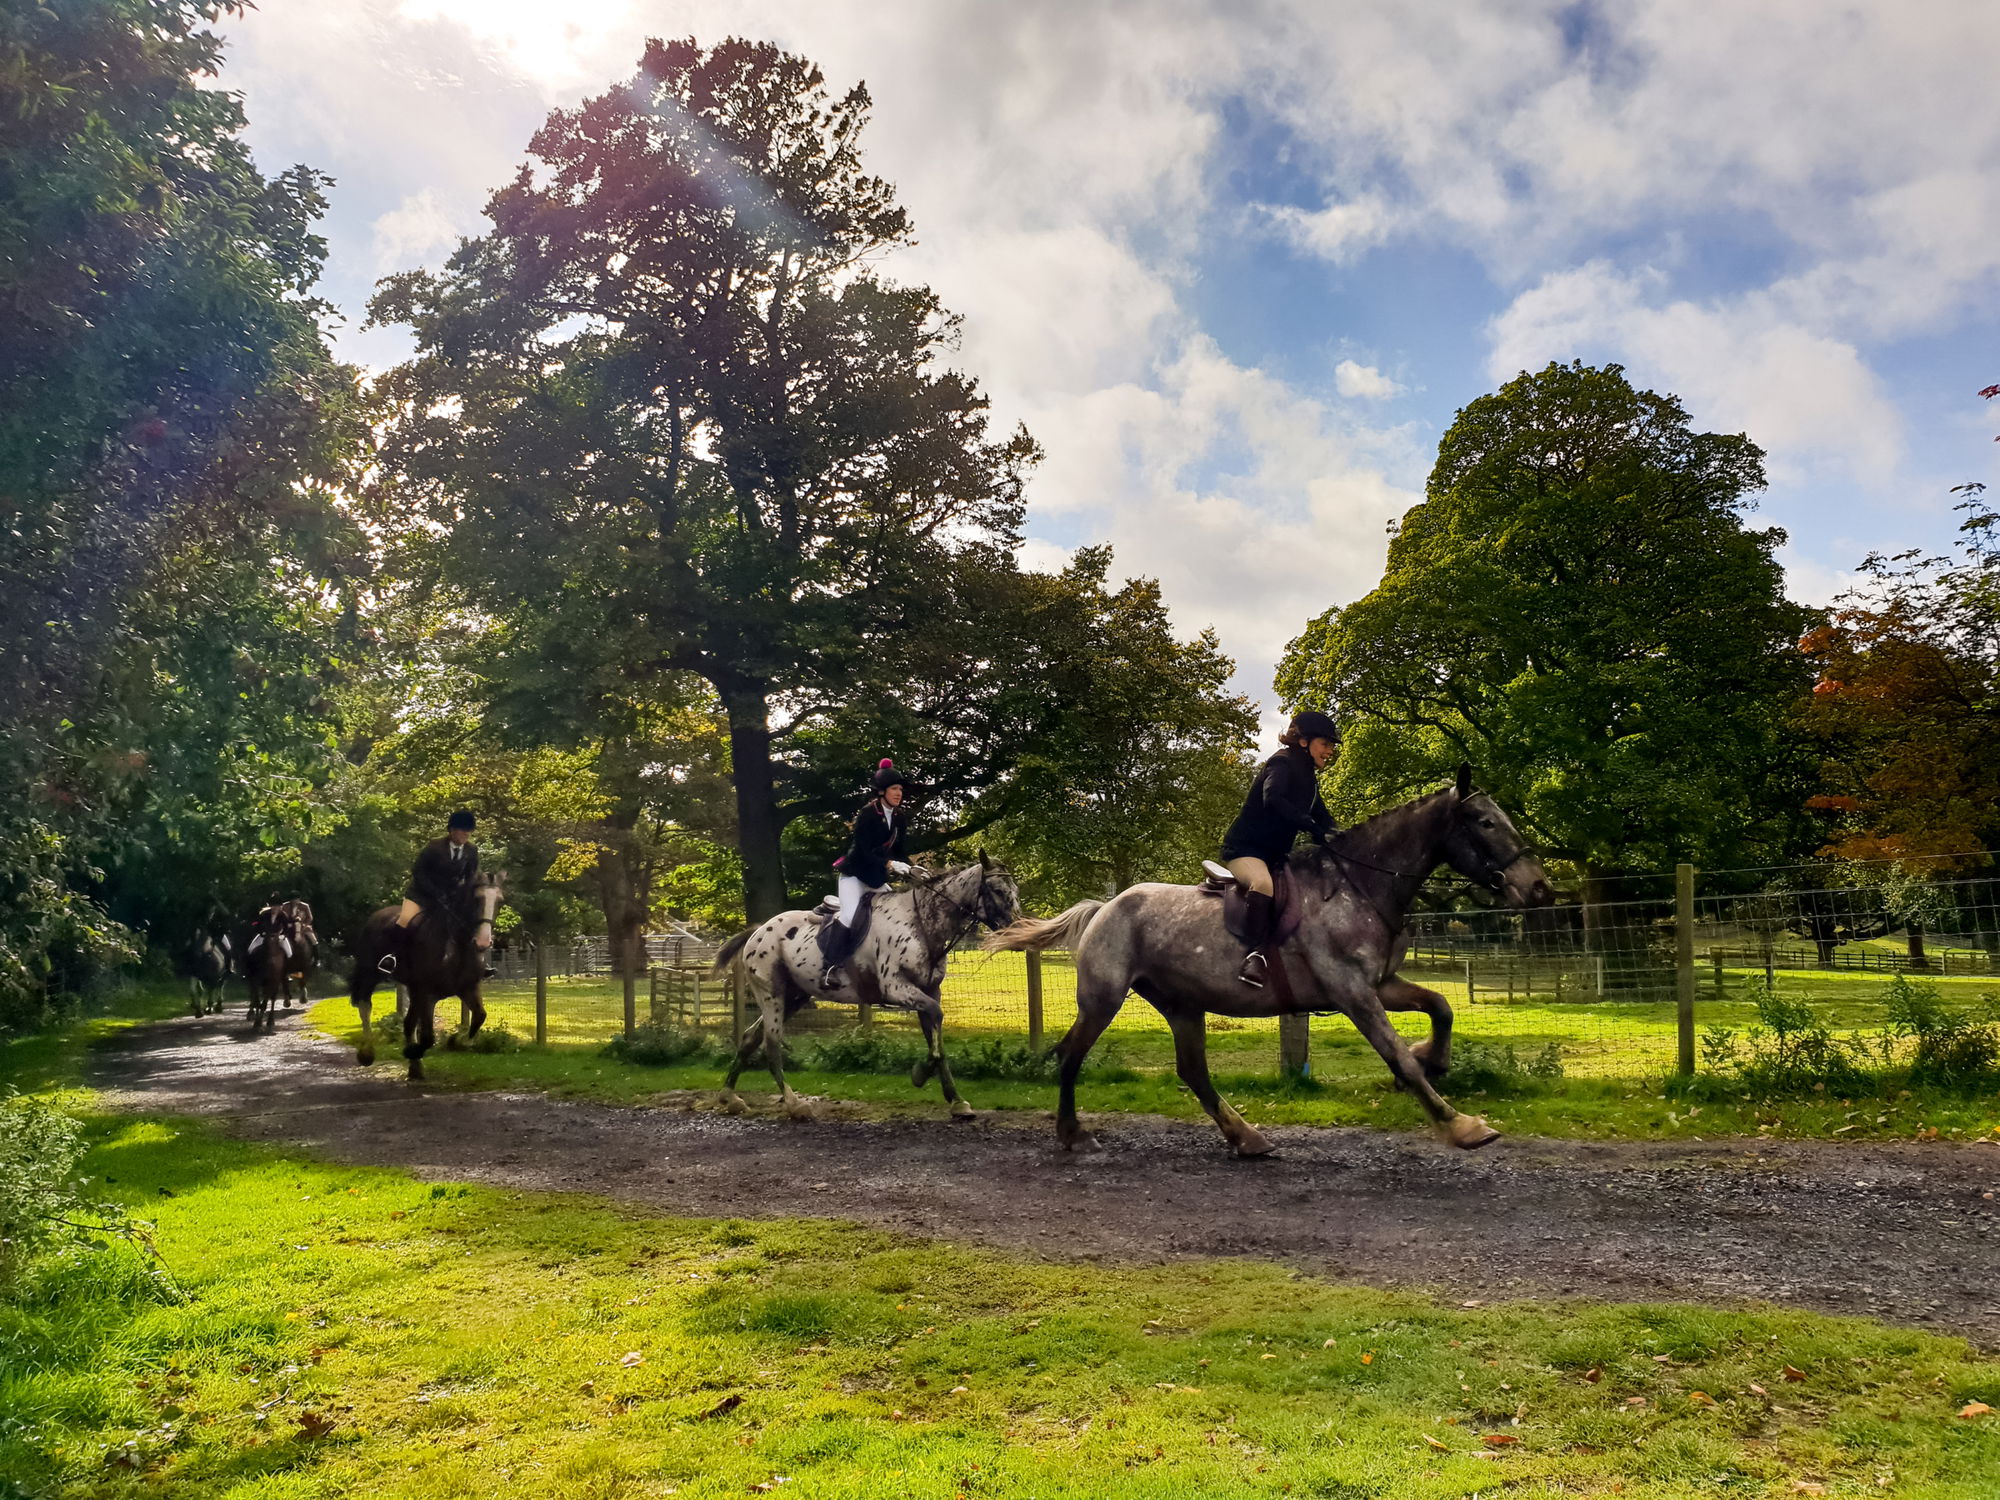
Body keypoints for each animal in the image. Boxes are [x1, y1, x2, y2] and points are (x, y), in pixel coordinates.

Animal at [348, 871, 502, 1079]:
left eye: (500, 901)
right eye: (476, 899)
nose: (483, 942)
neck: (456, 948)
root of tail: (376, 916)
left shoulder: (468, 988)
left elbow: (479, 1017)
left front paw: (456, 1041)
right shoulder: (427, 994)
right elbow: (428, 1037)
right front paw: (412, 1051)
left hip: (412, 990)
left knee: (408, 1023)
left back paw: (415, 1069)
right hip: (370, 974)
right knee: (365, 1005)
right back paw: (367, 1053)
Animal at [708, 855, 1022, 1121]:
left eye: (1014, 889)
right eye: (996, 890)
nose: (1018, 932)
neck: (920, 923)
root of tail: (758, 930)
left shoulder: (929, 991)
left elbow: (937, 1042)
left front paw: (957, 1101)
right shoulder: (897, 988)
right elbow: (937, 1022)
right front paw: (920, 1074)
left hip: (794, 996)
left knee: (750, 1038)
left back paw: (729, 1096)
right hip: (772, 993)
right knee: (771, 1044)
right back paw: (795, 1104)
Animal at [984, 768, 1554, 1156]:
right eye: (1484, 822)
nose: (1539, 888)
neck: (1360, 884)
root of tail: (1105, 907)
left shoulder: (1381, 983)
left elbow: (1440, 1008)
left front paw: (1436, 1058)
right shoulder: (1352, 991)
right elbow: (1399, 1057)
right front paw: (1460, 1124)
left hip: (1181, 1003)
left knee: (1193, 1070)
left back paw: (1245, 1136)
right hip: (1104, 999)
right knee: (1072, 1055)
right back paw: (1072, 1133)